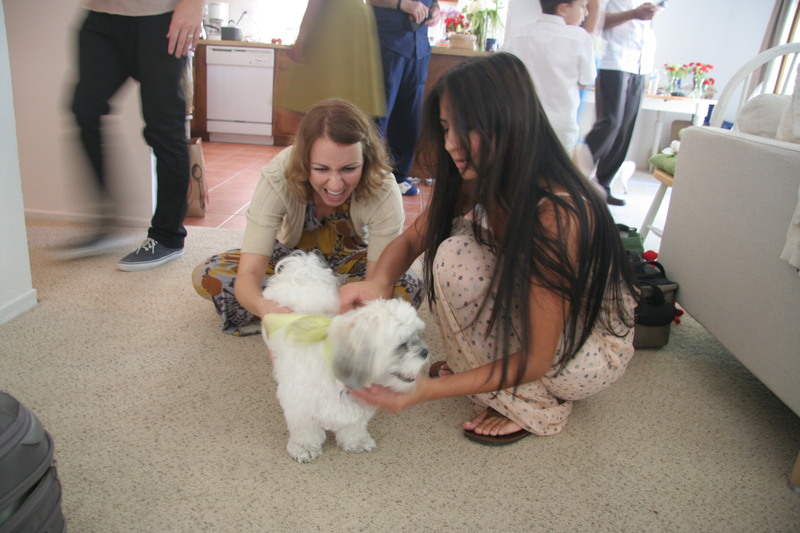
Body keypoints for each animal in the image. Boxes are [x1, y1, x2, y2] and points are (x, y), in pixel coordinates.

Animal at [261, 251, 428, 463]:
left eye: (418, 335)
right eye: (401, 345)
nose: (425, 352)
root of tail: (302, 273)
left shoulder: (354, 412)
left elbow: (352, 428)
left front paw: (356, 442)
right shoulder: (300, 408)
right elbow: (305, 432)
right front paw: (304, 448)